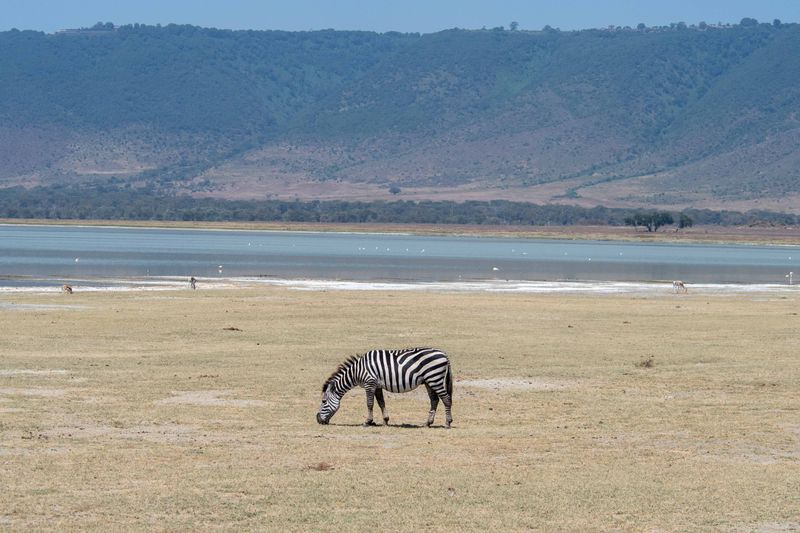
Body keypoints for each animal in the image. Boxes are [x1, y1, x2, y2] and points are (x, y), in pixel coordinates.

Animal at [318, 344, 456, 428]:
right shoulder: (377, 385)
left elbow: (369, 404)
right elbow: (381, 403)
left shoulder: (370, 383)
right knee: (434, 400)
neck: (357, 371)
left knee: (446, 399)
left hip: (435, 378)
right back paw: (428, 423)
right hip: (429, 381)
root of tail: (444, 354)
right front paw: (385, 421)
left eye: (323, 401)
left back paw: (447, 423)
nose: (318, 420)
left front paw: (368, 422)